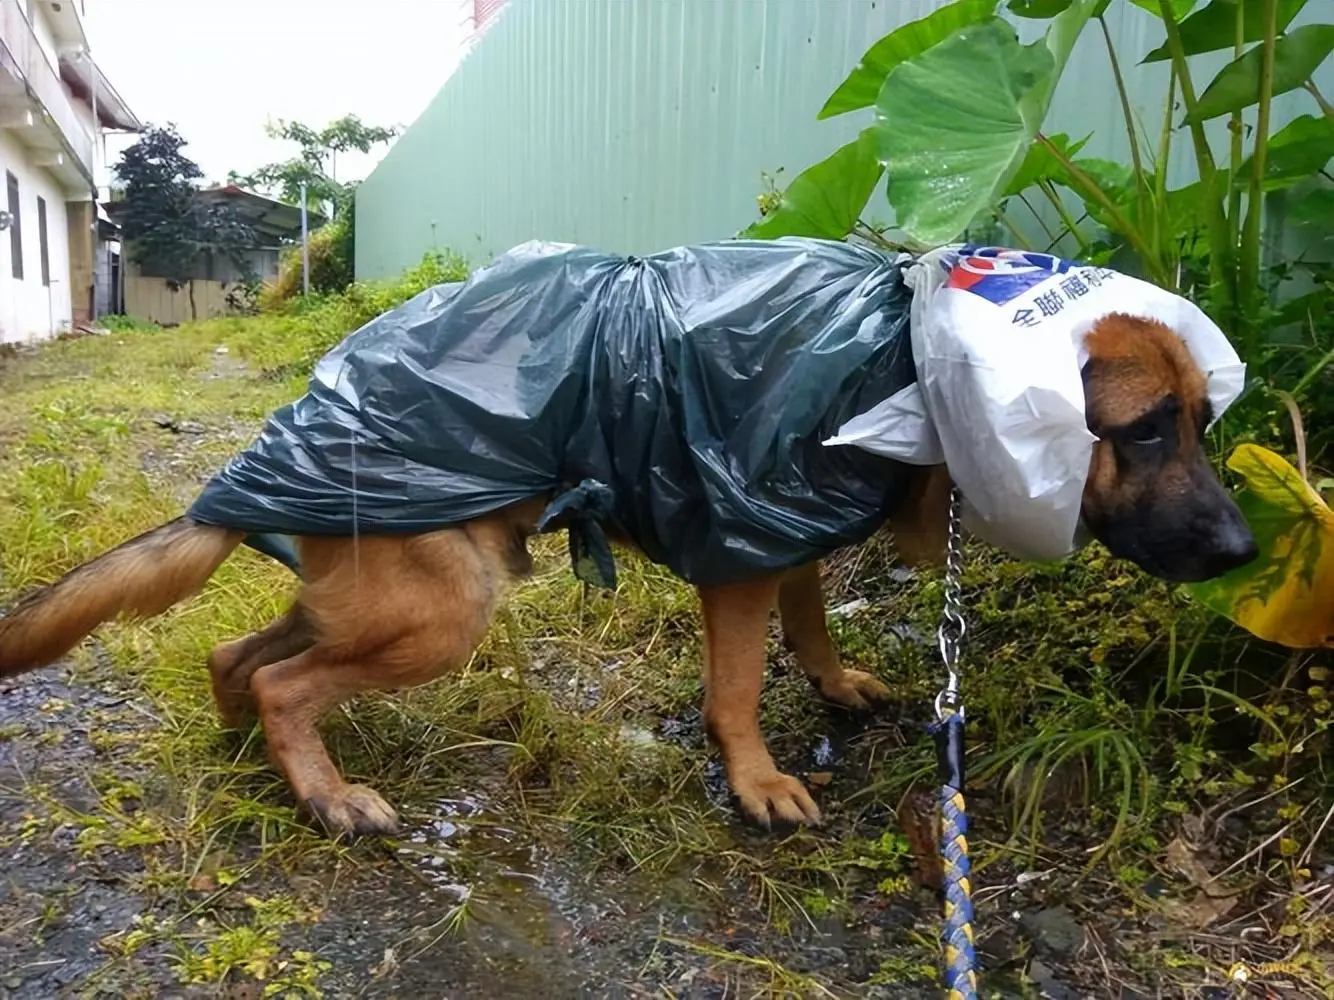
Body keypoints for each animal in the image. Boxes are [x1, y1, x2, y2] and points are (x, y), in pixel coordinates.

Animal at [0, 312, 1253, 837]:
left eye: (1200, 422)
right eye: (1142, 431)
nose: (1245, 553)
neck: (915, 351)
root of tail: (257, 465)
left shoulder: (782, 534)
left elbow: (811, 623)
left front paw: (834, 684)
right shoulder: (737, 557)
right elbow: (737, 685)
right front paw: (753, 780)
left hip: (379, 601)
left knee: (235, 654)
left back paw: (252, 760)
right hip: (444, 612)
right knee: (279, 679)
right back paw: (323, 792)